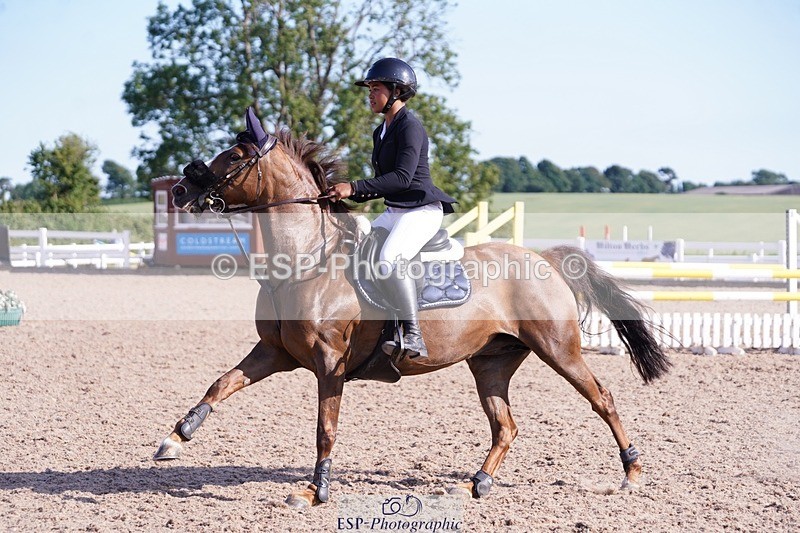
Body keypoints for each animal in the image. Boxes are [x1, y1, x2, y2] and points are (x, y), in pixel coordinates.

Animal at [155, 125, 671, 508]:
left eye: (235, 155)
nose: (179, 189)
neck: (307, 260)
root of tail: (543, 259)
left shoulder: (329, 364)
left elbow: (325, 428)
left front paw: (315, 491)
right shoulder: (275, 352)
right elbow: (221, 384)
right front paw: (176, 438)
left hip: (558, 349)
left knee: (602, 398)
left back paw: (632, 472)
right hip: (491, 362)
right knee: (505, 426)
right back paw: (474, 484)